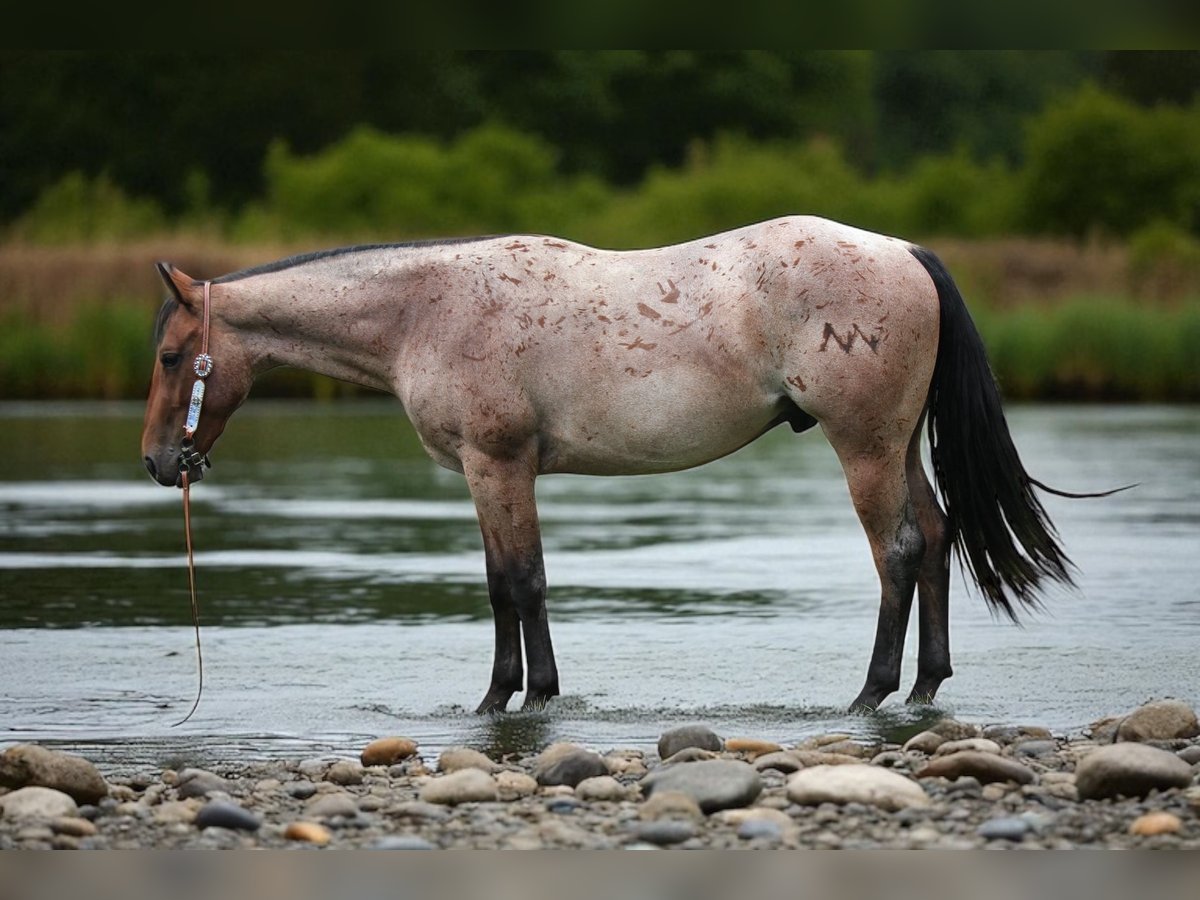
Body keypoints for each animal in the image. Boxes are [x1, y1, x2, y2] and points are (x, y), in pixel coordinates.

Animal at [141, 215, 1088, 714]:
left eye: (167, 357)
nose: (157, 461)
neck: (424, 309)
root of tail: (903, 252)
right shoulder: (496, 474)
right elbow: (509, 582)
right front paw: (520, 694)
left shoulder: (497, 465)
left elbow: (518, 582)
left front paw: (516, 699)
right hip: (895, 444)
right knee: (935, 534)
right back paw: (926, 687)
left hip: (864, 446)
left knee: (899, 551)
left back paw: (870, 695)